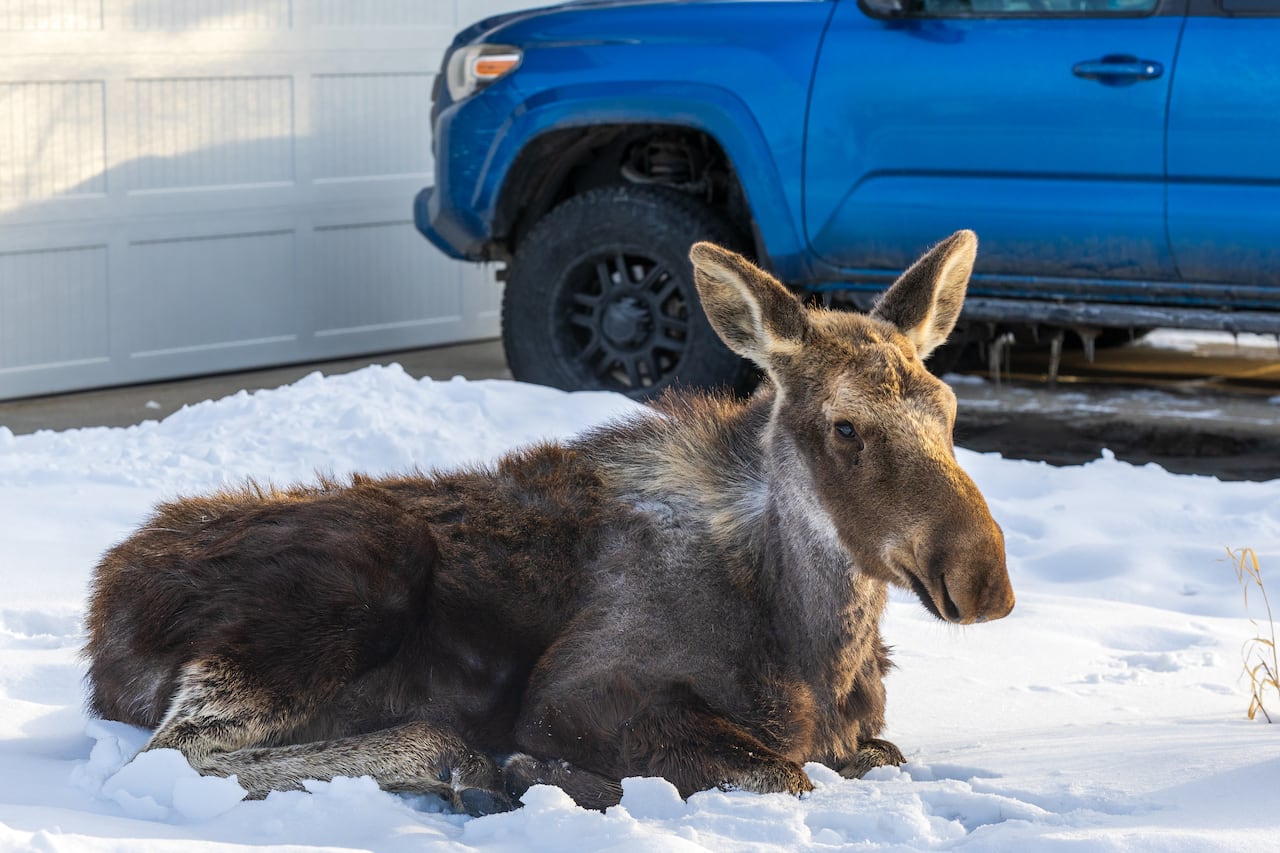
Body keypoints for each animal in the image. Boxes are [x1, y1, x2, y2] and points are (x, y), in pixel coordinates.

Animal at [84, 229, 1014, 817]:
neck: (816, 647)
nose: (985, 579)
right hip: (355, 574)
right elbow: (780, 773)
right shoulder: (576, 694)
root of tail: (106, 604)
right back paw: (466, 765)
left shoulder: (858, 733)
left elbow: (867, 755)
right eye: (845, 426)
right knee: (179, 754)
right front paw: (542, 773)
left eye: (949, 410)